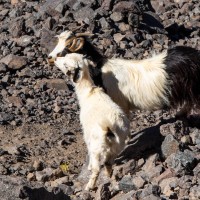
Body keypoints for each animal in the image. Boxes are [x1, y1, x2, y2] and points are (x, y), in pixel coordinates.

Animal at [54, 53, 130, 191]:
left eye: (66, 64)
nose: (55, 59)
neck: (88, 93)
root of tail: (110, 127)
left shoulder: (87, 133)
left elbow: (88, 148)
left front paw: (88, 167)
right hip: (117, 147)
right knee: (108, 163)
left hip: (97, 147)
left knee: (96, 169)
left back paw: (89, 186)